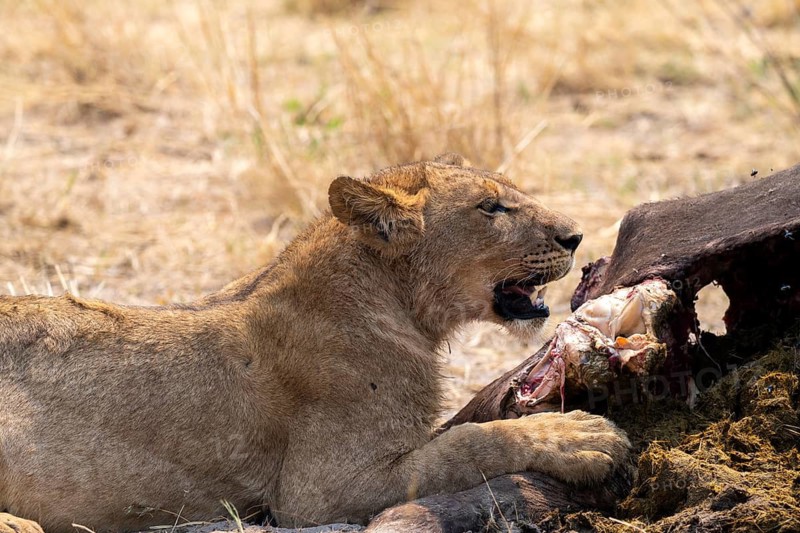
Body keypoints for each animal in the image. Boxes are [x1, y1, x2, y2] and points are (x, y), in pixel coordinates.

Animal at [0, 154, 629, 533]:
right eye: (490, 207)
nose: (576, 236)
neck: (399, 304)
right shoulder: (320, 490)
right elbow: (471, 443)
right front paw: (579, 437)